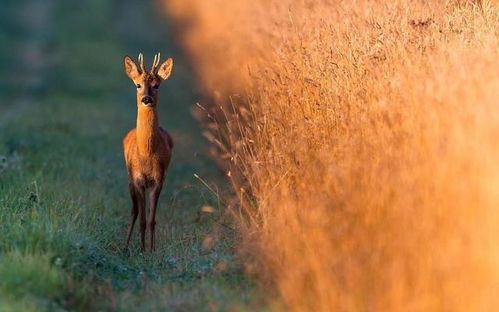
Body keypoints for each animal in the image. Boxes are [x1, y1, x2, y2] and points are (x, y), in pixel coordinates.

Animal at [122, 53, 174, 251]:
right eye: (138, 84)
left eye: (156, 85)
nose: (146, 99)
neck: (146, 154)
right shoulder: (138, 180)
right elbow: (143, 219)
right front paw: (142, 250)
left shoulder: (158, 180)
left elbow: (152, 220)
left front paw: (151, 250)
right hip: (129, 178)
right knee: (134, 211)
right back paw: (126, 246)